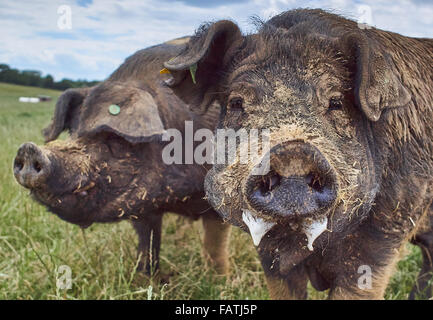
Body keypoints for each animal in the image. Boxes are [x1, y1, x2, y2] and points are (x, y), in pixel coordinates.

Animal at [12, 37, 230, 276]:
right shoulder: (144, 205)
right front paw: (146, 277)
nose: (28, 149)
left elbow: (214, 243)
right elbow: (148, 243)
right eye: (73, 131)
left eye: (113, 137)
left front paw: (218, 278)